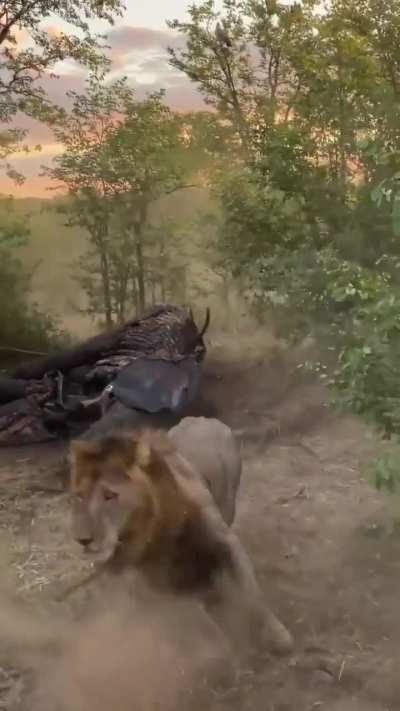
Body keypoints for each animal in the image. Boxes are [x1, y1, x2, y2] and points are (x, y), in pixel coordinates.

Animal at [69, 416, 293, 656]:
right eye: (80, 496)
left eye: (110, 495)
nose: (82, 539)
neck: (156, 532)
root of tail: (202, 418)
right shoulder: (154, 583)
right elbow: (194, 615)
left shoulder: (226, 541)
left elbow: (253, 594)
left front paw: (277, 635)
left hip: (228, 499)